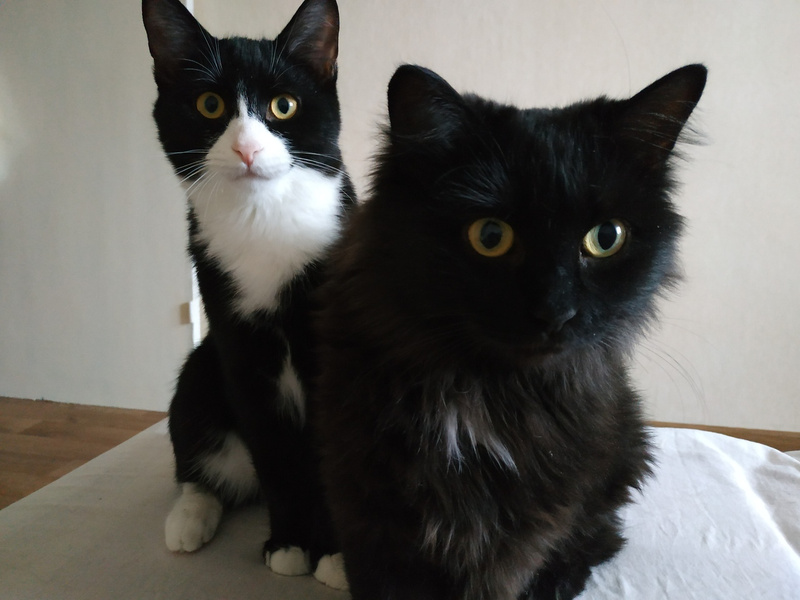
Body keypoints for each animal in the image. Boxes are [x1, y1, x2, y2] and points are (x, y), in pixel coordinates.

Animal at [142, 0, 353, 586]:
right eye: (209, 104)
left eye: (283, 105)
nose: (246, 147)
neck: (262, 220)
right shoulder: (237, 347)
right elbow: (272, 453)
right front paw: (289, 544)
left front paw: (334, 556)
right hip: (201, 368)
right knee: (202, 457)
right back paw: (189, 518)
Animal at [313, 63, 707, 600]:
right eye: (490, 236)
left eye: (606, 238)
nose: (555, 311)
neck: (483, 396)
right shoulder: (364, 499)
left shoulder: (529, 521)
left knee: (602, 532)